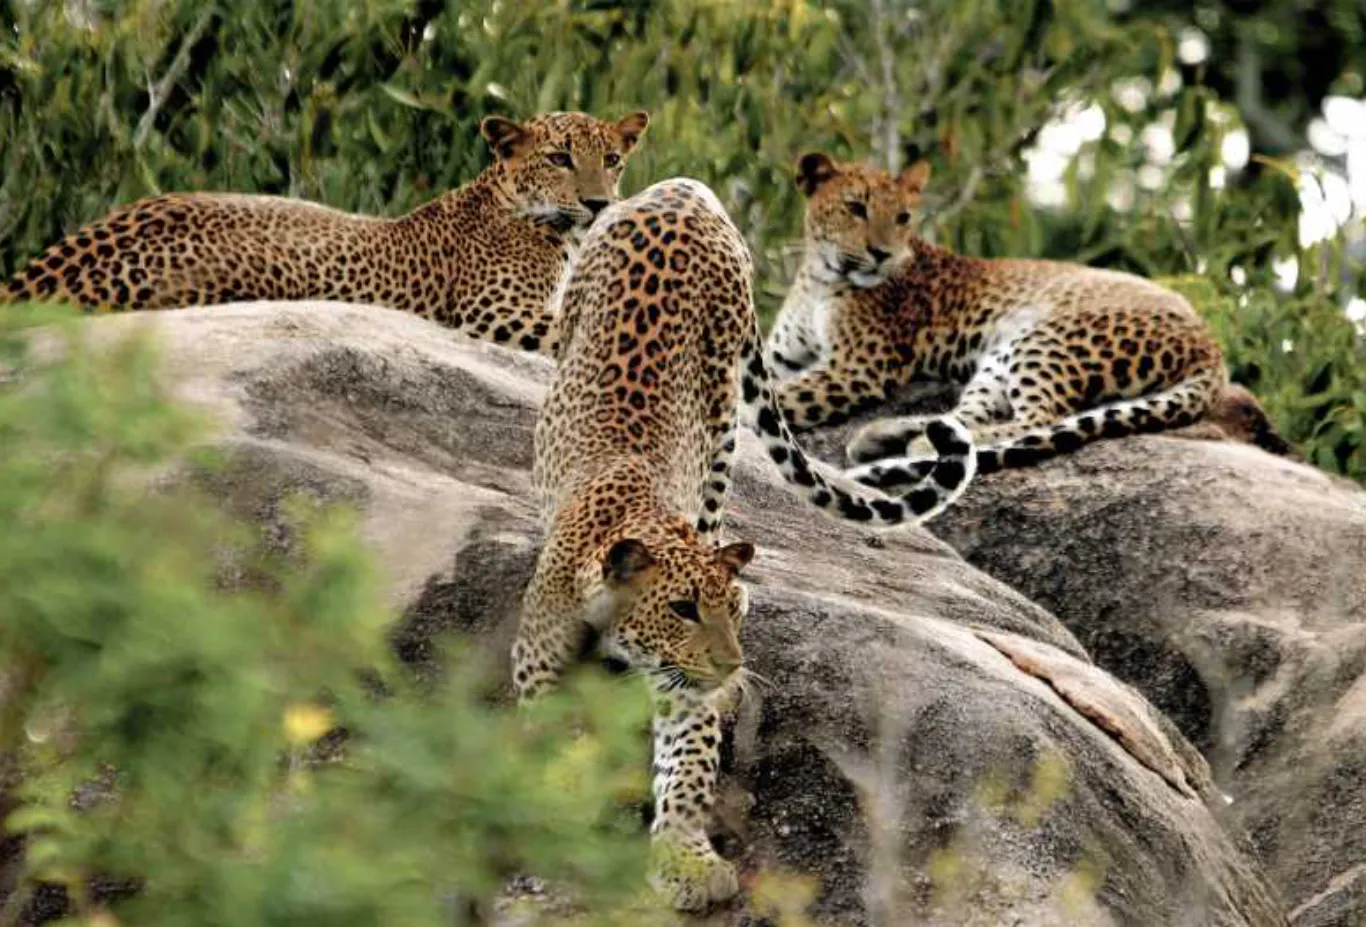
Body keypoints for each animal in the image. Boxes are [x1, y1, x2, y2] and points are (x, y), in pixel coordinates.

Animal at [516, 177, 978, 911]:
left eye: (730, 610)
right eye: (681, 609)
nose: (734, 665)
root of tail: (682, 189)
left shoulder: (684, 687)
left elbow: (687, 765)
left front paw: (687, 859)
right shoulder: (538, 663)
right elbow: (540, 738)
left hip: (724, 409)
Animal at [775, 150, 1284, 494]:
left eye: (902, 217)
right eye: (856, 208)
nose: (882, 253)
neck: (819, 276)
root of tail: (1213, 348)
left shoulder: (856, 367)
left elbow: (781, 397)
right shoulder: (783, 355)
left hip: (1043, 338)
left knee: (1036, 418)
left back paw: (912, 447)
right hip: (1002, 353)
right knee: (965, 417)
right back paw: (883, 436)